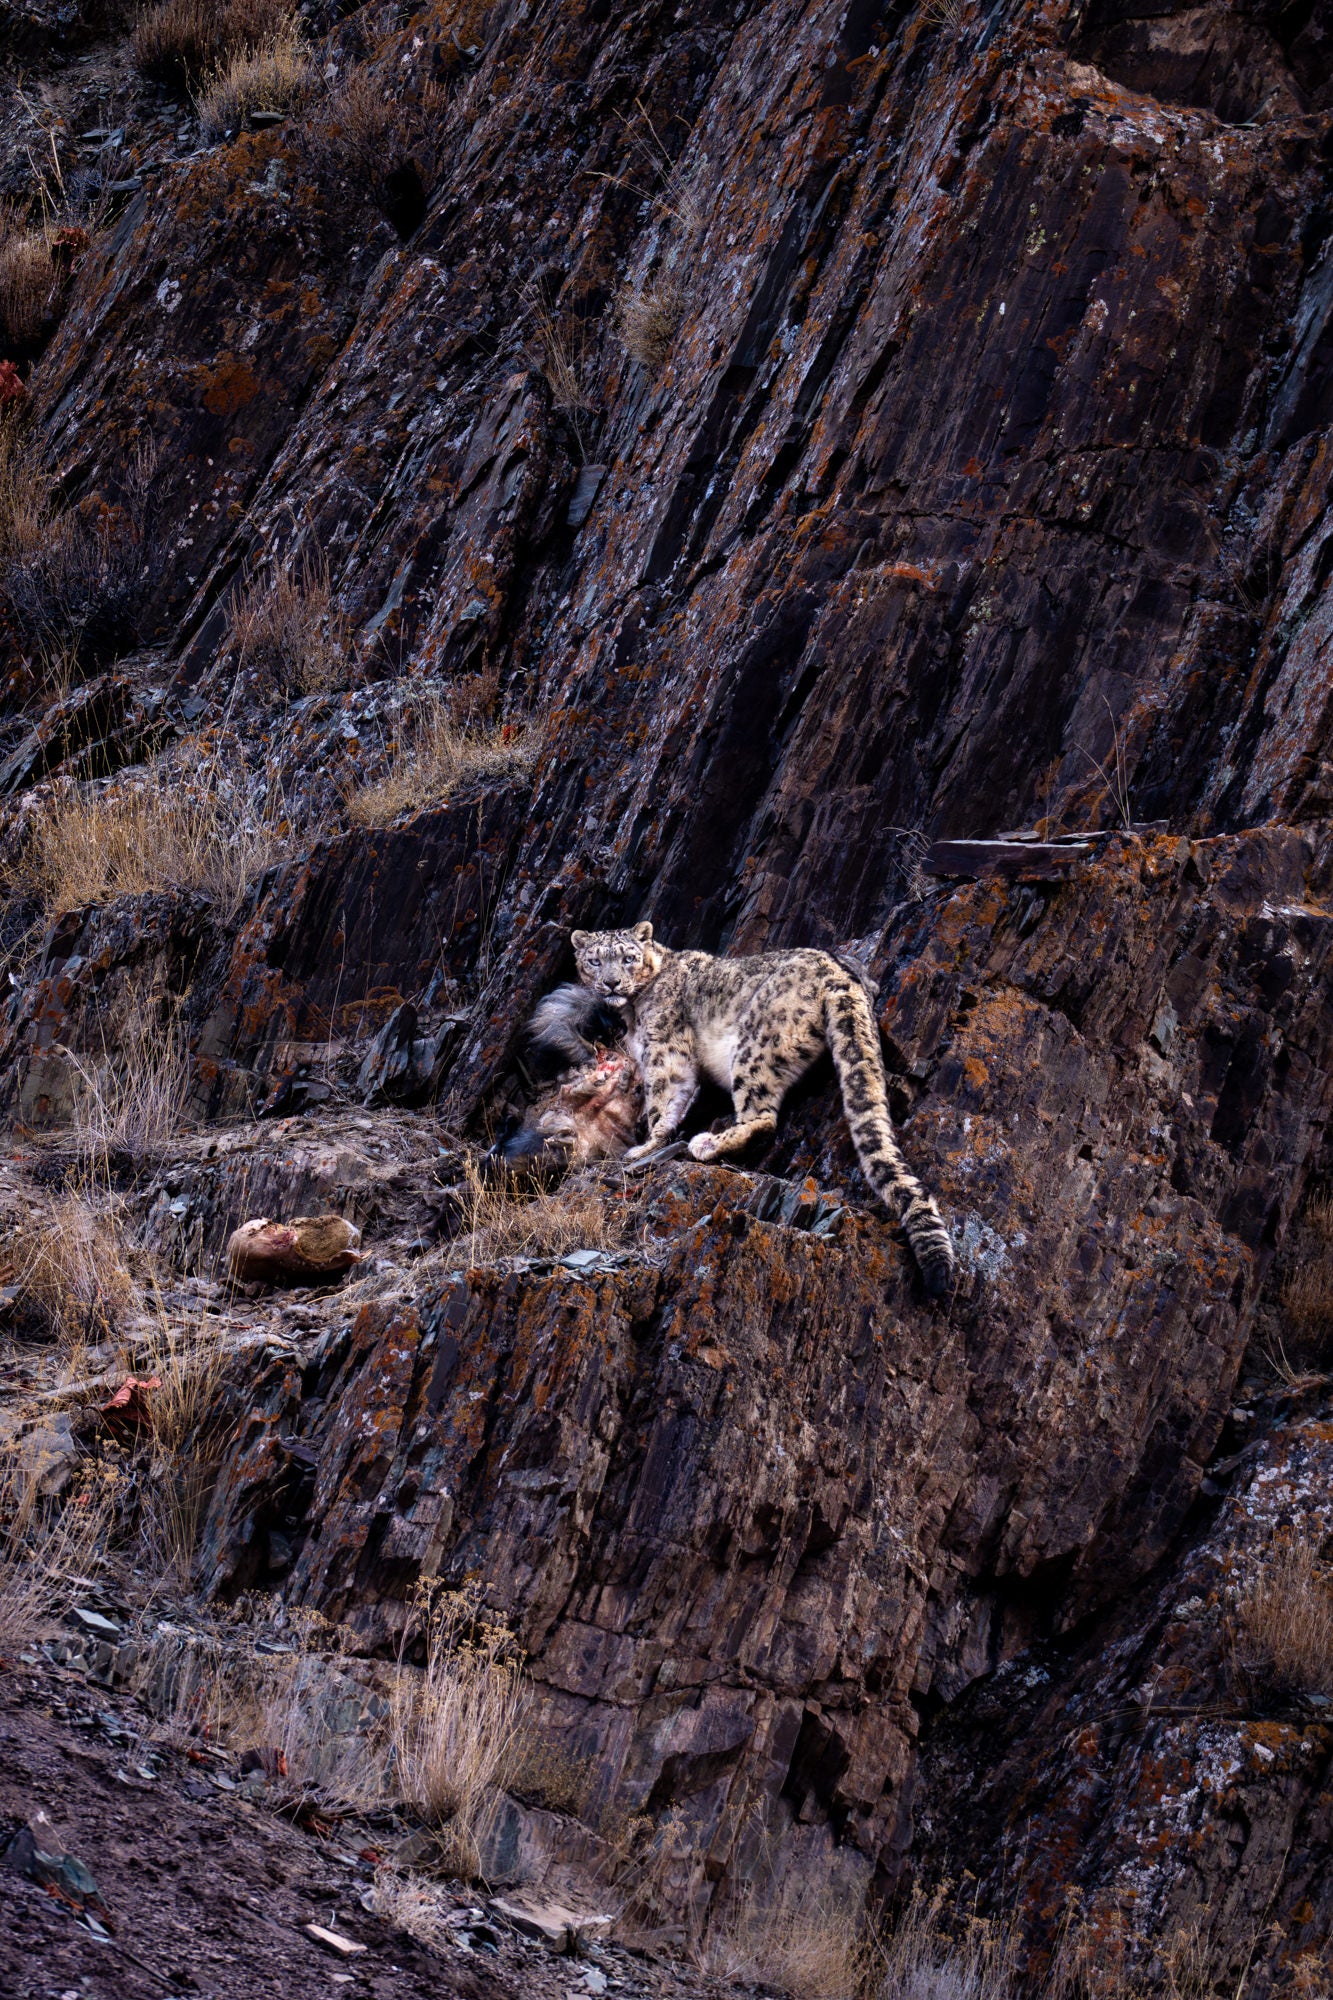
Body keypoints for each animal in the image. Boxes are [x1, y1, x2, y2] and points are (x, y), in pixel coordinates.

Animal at [568, 921, 956, 1296]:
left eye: (628, 958)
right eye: (595, 961)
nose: (612, 982)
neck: (633, 1011)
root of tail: (839, 972)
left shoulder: (664, 1050)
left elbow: (662, 1099)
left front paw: (645, 1146)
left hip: (754, 1046)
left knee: (763, 1116)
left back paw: (708, 1143)